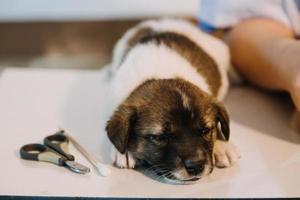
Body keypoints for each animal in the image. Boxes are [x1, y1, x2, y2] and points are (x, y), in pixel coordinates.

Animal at [104, 19, 240, 184]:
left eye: (206, 130)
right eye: (160, 137)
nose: (196, 166)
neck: (161, 73)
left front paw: (222, 145)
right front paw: (124, 152)